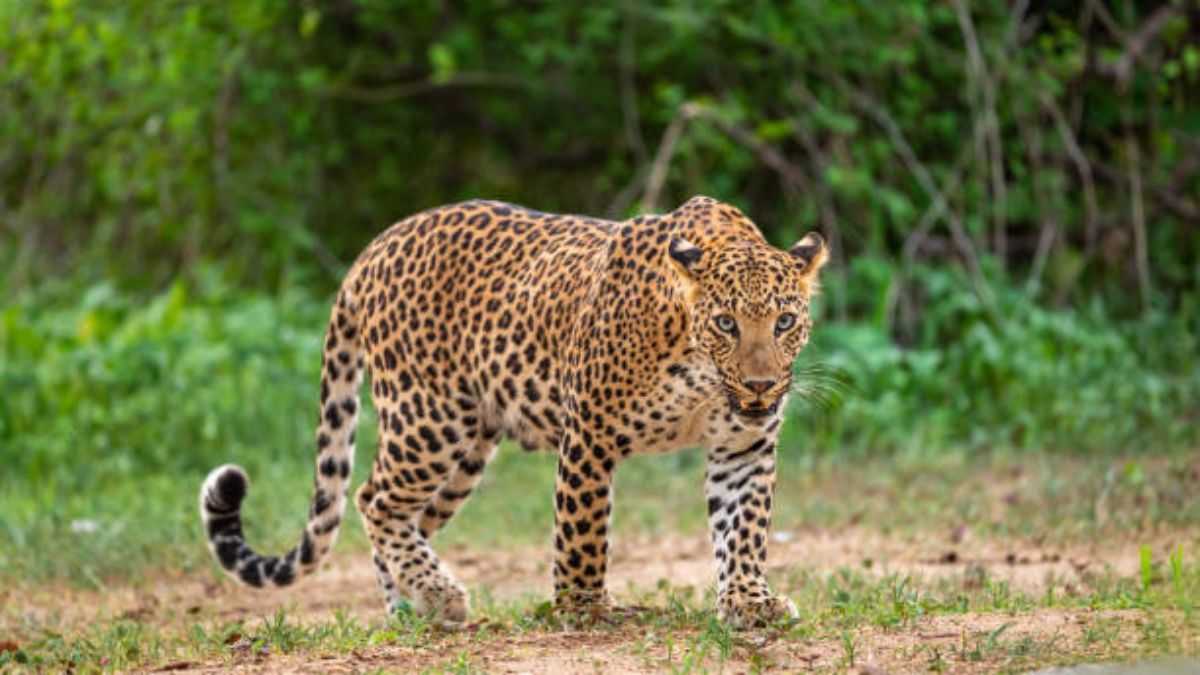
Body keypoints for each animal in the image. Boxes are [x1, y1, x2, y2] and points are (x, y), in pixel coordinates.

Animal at [199, 195, 829, 628]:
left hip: (467, 450)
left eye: (784, 321)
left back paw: (411, 606)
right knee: (373, 498)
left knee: (405, 517)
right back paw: (438, 595)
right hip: (428, 419)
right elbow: (583, 532)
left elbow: (744, 529)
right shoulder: (590, 433)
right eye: (726, 323)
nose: (760, 385)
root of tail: (372, 250)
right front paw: (582, 609)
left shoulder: (744, 446)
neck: (700, 372)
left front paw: (749, 601)